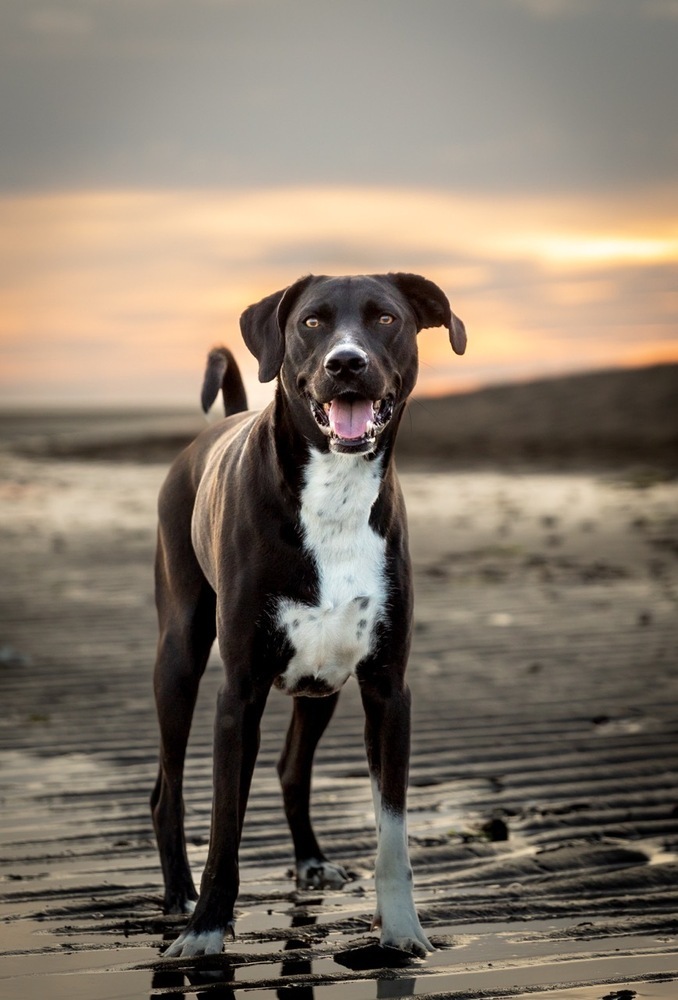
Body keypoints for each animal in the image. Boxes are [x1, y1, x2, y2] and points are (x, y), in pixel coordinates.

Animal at [150, 274, 468, 960]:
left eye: (385, 318)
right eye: (312, 322)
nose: (345, 363)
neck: (335, 489)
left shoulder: (387, 690)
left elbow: (392, 832)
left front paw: (402, 932)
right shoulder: (238, 695)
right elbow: (225, 828)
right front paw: (206, 931)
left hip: (321, 682)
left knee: (292, 768)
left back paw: (311, 861)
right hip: (179, 654)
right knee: (167, 791)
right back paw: (180, 898)